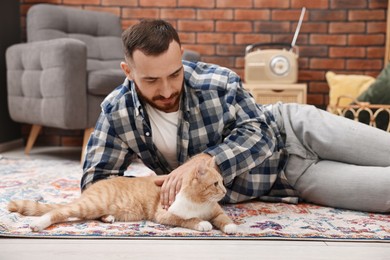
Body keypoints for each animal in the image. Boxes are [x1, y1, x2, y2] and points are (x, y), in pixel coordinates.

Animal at [7, 158, 236, 234]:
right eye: (216, 184)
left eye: (223, 182)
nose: (224, 191)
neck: (200, 202)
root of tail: (96, 185)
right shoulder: (164, 214)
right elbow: (187, 219)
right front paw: (202, 223)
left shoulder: (216, 211)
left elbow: (223, 218)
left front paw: (232, 227)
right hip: (90, 204)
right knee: (58, 211)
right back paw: (38, 224)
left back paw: (108, 217)